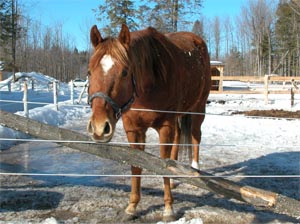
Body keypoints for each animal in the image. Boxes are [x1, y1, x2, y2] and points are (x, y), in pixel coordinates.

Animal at [86, 24, 211, 220]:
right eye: (89, 72)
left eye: (125, 72)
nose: (99, 128)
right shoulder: (133, 130)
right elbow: (136, 166)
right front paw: (132, 206)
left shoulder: (165, 127)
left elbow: (163, 164)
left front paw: (168, 209)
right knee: (178, 138)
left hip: (198, 108)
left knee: (195, 136)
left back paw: (194, 169)